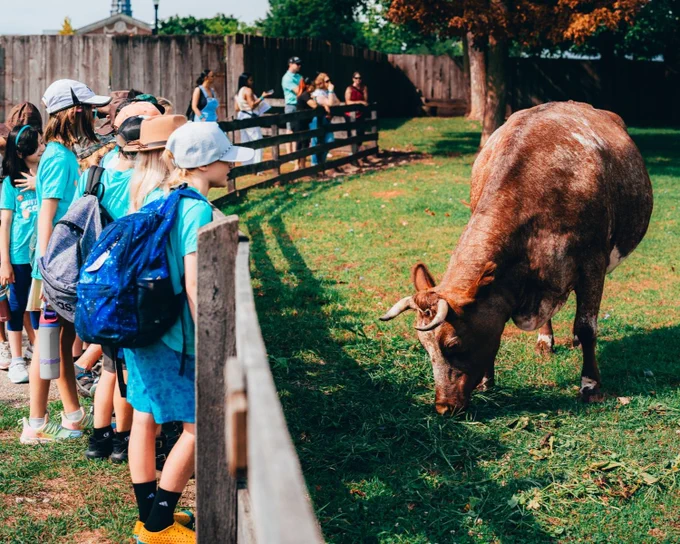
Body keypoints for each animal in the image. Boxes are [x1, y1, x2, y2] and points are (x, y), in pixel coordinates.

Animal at [380, 101, 653, 415]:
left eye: (453, 345)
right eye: (426, 348)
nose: (443, 407)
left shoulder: (593, 263)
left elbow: (586, 327)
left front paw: (591, 386)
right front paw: (487, 380)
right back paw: (545, 340)